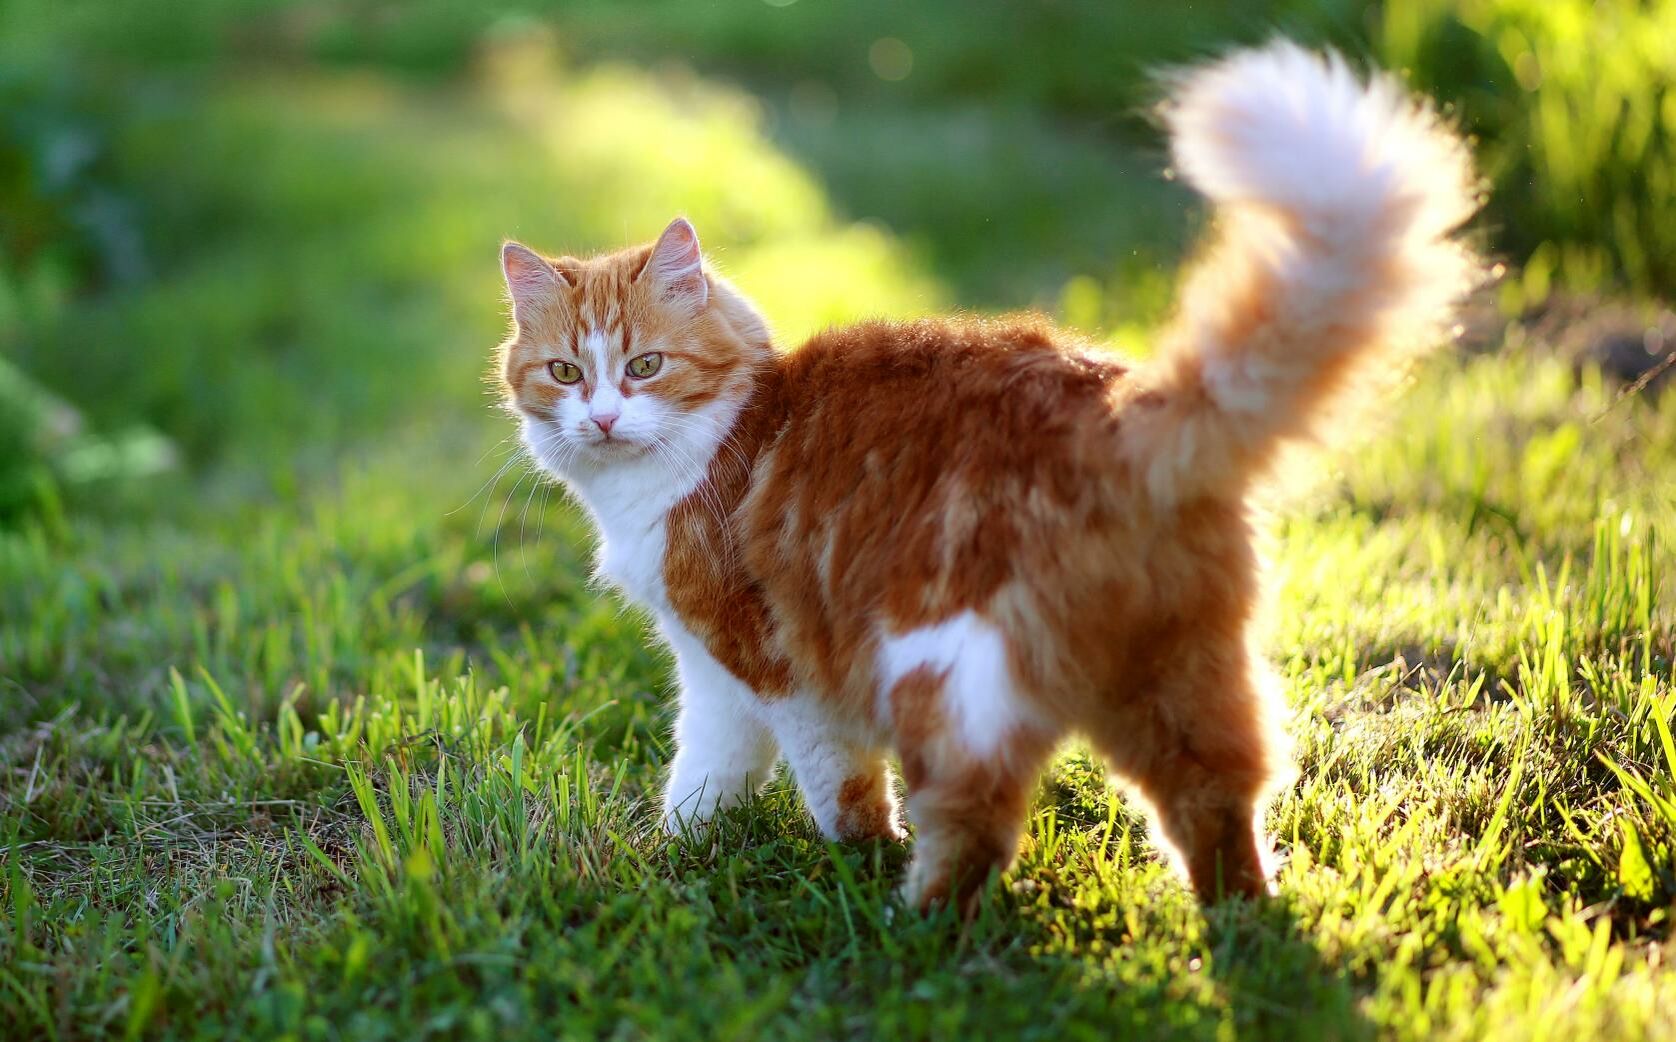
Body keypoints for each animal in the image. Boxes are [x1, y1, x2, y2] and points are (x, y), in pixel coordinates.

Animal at [492, 46, 1481, 911]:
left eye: (646, 367)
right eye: (566, 373)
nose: (602, 418)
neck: (720, 436)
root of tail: (1118, 408)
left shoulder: (777, 663)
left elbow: (834, 785)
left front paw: (854, 857)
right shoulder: (710, 668)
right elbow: (708, 770)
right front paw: (682, 850)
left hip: (946, 679)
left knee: (978, 824)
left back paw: (912, 925)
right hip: (1179, 678)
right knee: (1217, 798)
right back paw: (1241, 927)